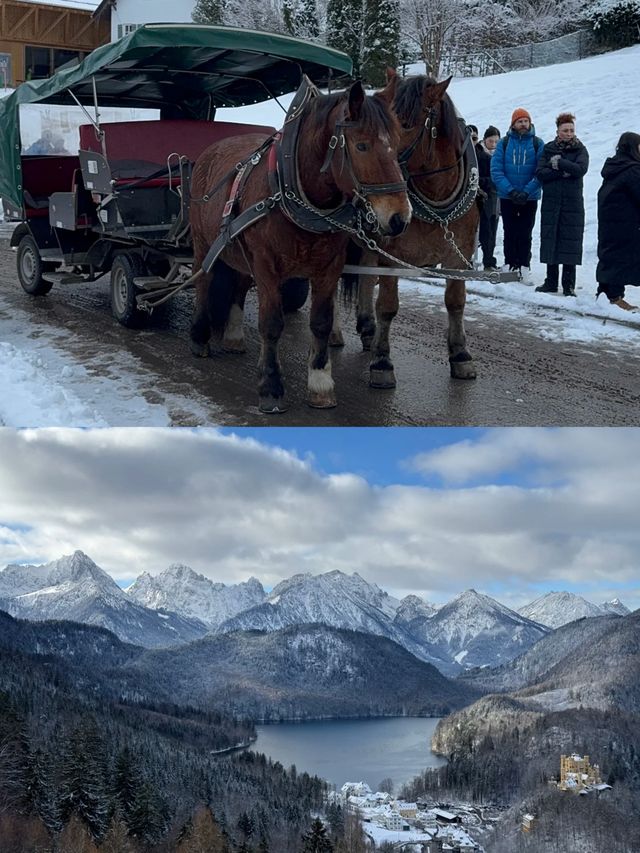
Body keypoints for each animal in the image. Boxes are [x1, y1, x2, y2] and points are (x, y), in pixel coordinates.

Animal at [189, 77, 410, 412]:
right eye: (361, 145)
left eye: (397, 144)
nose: (399, 218)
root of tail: (211, 149)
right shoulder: (266, 265)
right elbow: (271, 323)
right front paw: (270, 385)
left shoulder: (328, 267)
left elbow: (321, 323)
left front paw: (320, 382)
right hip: (203, 243)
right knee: (204, 280)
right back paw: (200, 336)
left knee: (239, 282)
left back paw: (233, 336)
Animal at [336, 73, 480, 386]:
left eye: (404, 124)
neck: (437, 202)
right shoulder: (392, 255)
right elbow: (388, 305)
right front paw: (382, 362)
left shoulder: (458, 256)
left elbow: (455, 302)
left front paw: (460, 355)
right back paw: (335, 333)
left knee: (366, 277)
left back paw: (367, 328)